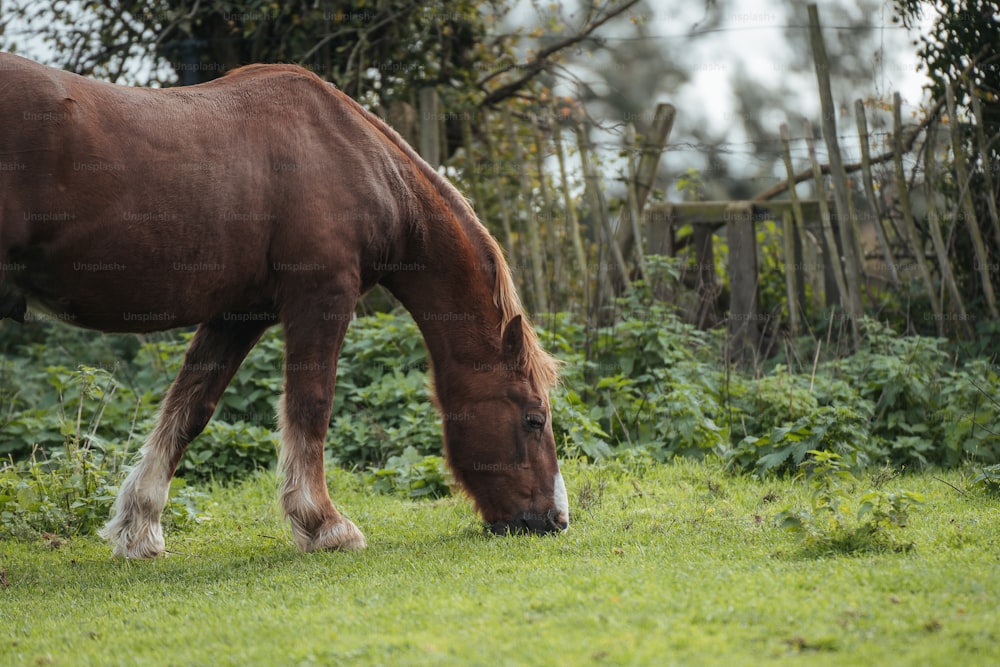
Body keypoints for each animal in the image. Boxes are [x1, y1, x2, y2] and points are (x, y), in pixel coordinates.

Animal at [0, 53, 568, 560]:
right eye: (534, 419)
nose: (555, 520)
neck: (358, 158)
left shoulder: (239, 314)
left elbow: (190, 409)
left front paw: (139, 529)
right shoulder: (321, 297)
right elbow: (311, 405)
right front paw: (325, 524)